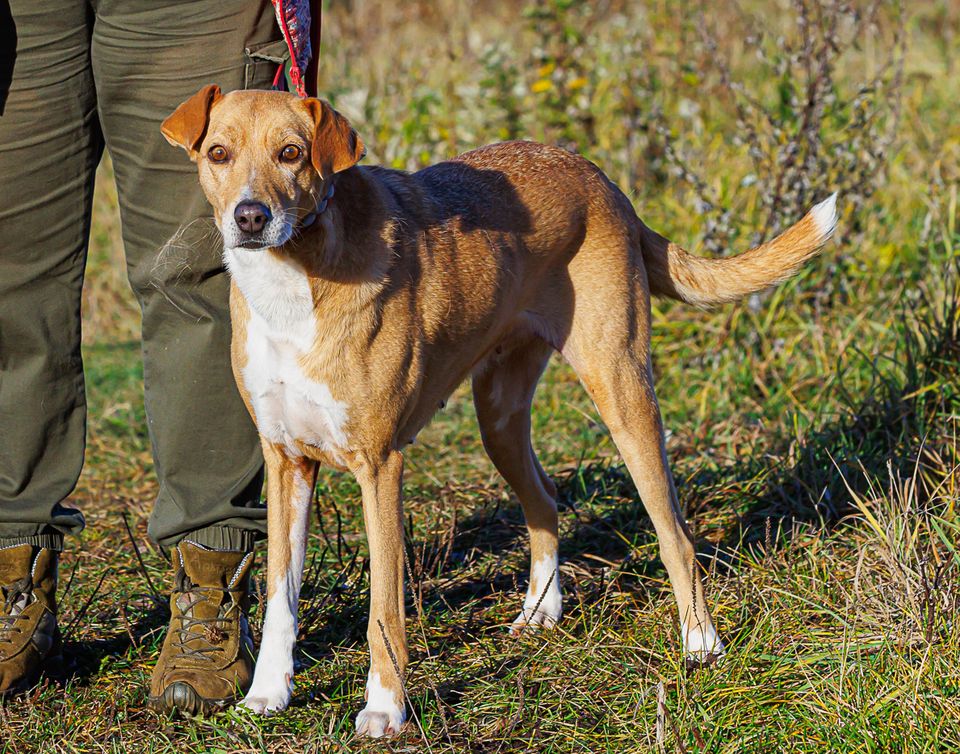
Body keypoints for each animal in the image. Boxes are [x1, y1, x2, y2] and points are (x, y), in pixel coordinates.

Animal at [161, 86, 836, 736]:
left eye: (292, 154)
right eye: (219, 153)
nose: (251, 217)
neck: (292, 282)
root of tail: (597, 176)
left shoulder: (380, 466)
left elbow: (384, 607)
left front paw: (385, 709)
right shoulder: (286, 463)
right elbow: (281, 594)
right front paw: (266, 695)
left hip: (622, 391)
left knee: (675, 535)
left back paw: (700, 643)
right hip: (499, 420)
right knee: (545, 499)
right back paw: (542, 610)